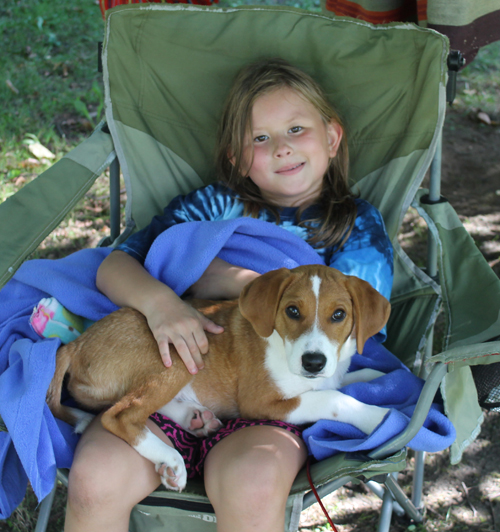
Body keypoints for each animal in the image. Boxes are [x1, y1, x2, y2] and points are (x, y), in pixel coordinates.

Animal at [47, 264, 390, 492]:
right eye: (292, 311)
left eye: (339, 314)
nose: (314, 362)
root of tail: (76, 344)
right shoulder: (261, 402)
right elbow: (332, 398)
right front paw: (376, 417)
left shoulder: (328, 375)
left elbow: (344, 380)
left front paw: (377, 376)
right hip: (177, 356)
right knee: (120, 414)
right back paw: (171, 458)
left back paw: (193, 417)